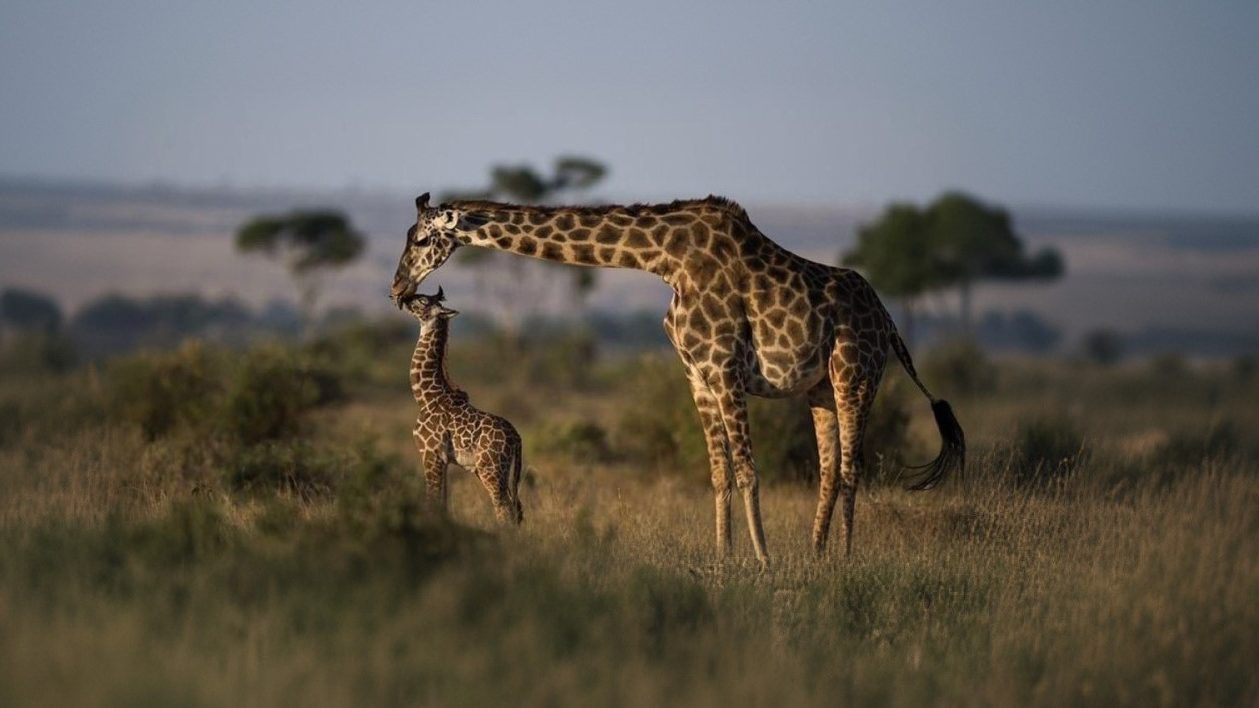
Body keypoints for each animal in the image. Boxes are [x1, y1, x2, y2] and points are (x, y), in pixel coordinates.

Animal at [403, 287, 524, 525]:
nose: (405, 298)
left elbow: (432, 498)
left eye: (423, 301)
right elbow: (442, 501)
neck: (426, 397)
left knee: (504, 510)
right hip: (499, 471)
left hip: (491, 469)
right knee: (515, 509)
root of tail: (516, 438)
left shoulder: (430, 452)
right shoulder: (445, 459)